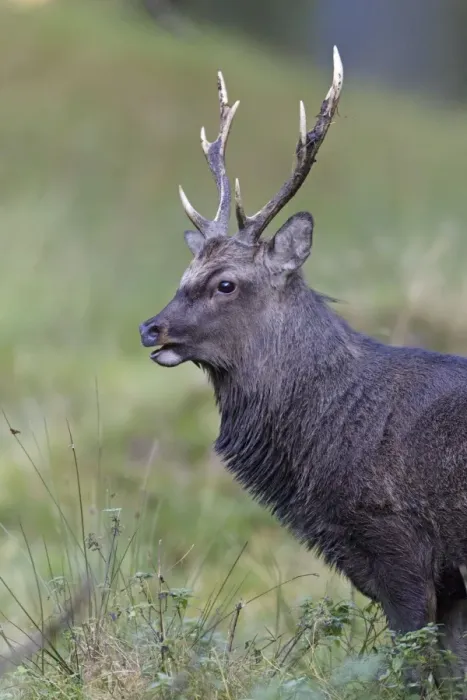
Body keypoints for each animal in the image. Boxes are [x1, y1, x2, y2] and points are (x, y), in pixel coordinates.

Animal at [139, 48, 467, 695]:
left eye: (225, 283)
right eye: (183, 275)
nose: (151, 329)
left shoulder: (403, 548)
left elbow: (417, 668)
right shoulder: (450, 578)